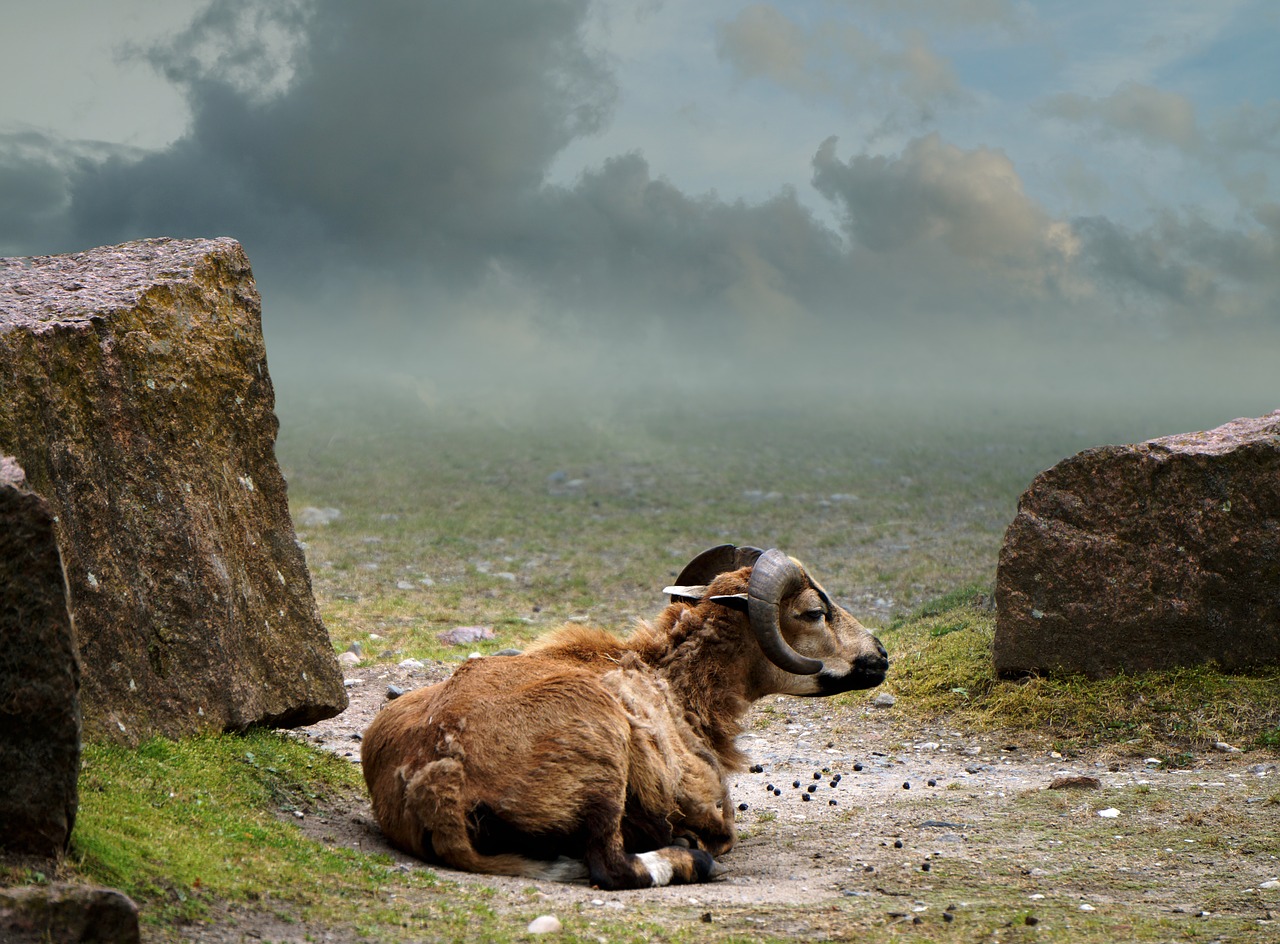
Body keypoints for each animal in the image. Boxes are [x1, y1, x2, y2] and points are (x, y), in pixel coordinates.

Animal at [355, 539, 885, 885]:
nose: (880, 655)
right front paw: (694, 843)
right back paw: (684, 857)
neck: (678, 683)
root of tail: (438, 780)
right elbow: (720, 832)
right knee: (611, 866)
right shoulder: (704, 800)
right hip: (601, 764)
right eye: (814, 612)